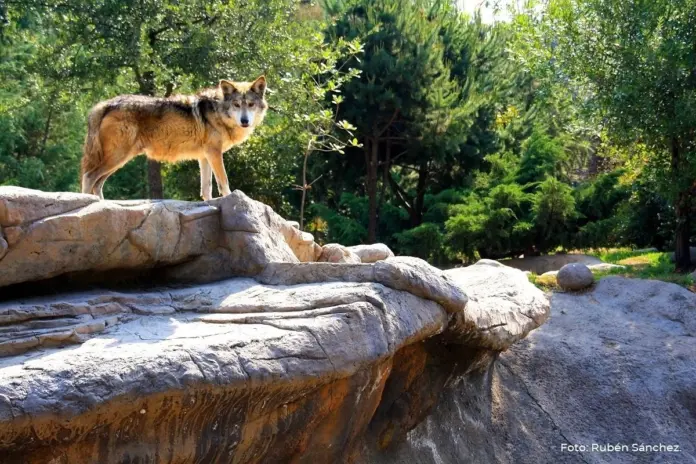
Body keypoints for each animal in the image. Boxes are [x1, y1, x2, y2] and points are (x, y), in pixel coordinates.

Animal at [80, 76, 267, 200]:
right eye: (236, 105)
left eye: (251, 105)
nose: (245, 121)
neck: (218, 112)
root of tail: (105, 105)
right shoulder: (214, 153)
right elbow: (224, 182)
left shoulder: (205, 156)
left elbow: (206, 189)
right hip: (118, 158)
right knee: (89, 176)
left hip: (118, 161)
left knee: (97, 183)